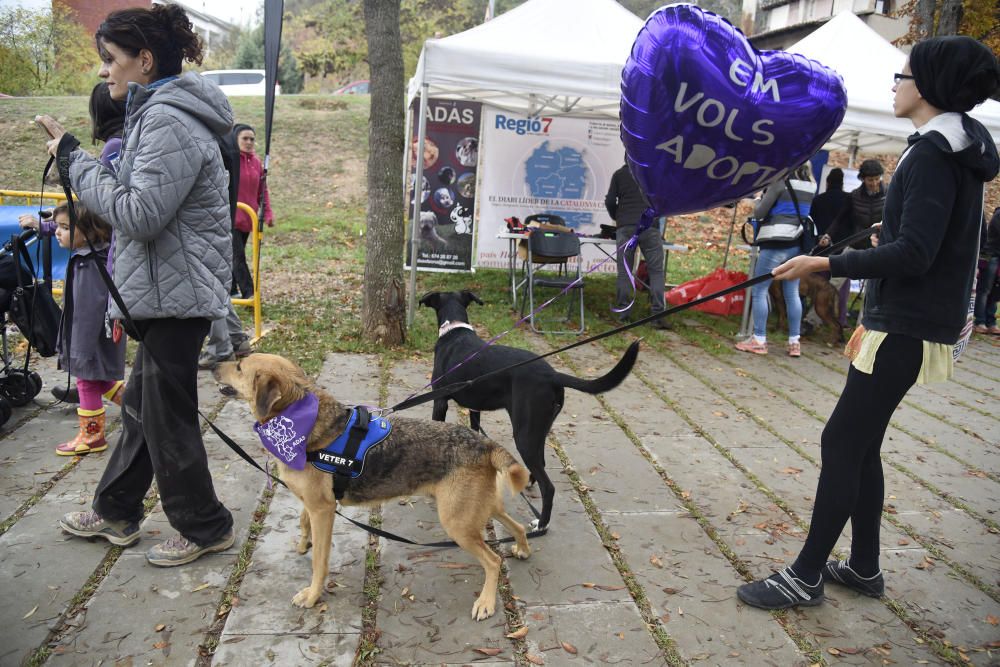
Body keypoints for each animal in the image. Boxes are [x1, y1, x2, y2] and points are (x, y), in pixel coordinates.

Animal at [215, 354, 536, 620]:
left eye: (240, 366)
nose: (212, 365)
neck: (300, 420)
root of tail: (484, 443)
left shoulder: (323, 511)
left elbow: (320, 562)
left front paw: (313, 594)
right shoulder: (313, 505)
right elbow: (303, 522)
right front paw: (304, 543)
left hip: (458, 523)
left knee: (493, 561)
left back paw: (486, 602)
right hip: (478, 509)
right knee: (518, 525)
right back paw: (522, 548)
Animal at [416, 290, 636, 528]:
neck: (455, 331)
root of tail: (552, 375)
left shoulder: (440, 401)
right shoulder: (475, 409)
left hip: (524, 435)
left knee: (548, 486)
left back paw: (541, 524)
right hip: (538, 429)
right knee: (541, 464)